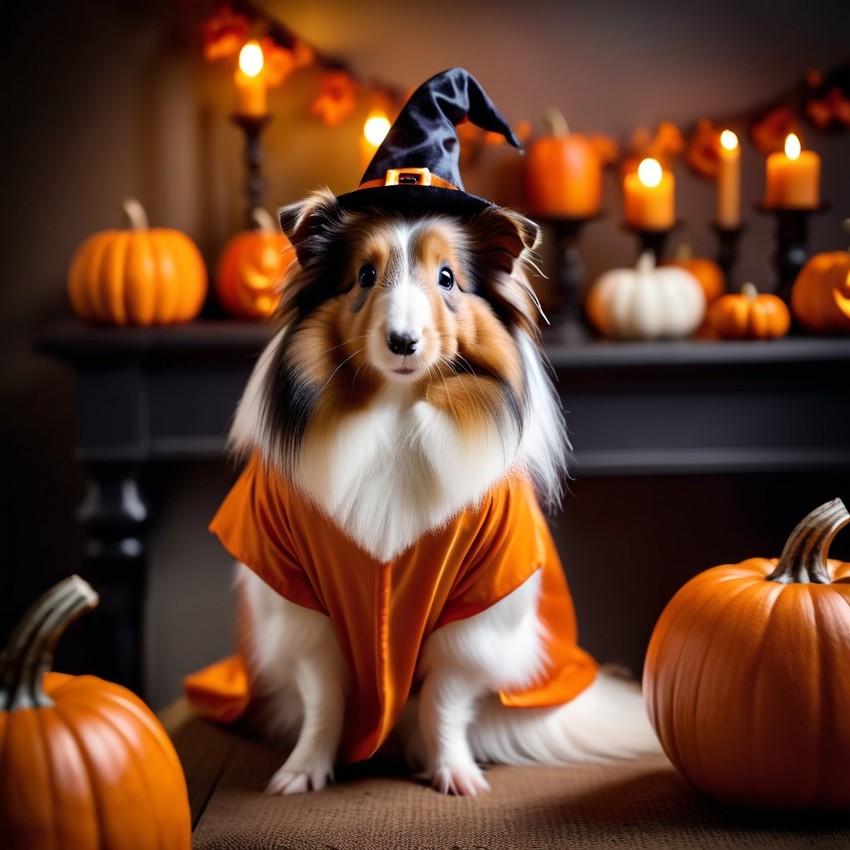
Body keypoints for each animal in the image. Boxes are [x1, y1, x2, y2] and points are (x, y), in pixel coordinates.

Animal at [204, 184, 656, 788]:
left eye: (447, 278)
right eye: (364, 275)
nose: (402, 342)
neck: (396, 413)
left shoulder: (476, 615)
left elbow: (445, 699)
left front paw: (455, 774)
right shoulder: (300, 605)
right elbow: (322, 700)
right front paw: (302, 772)